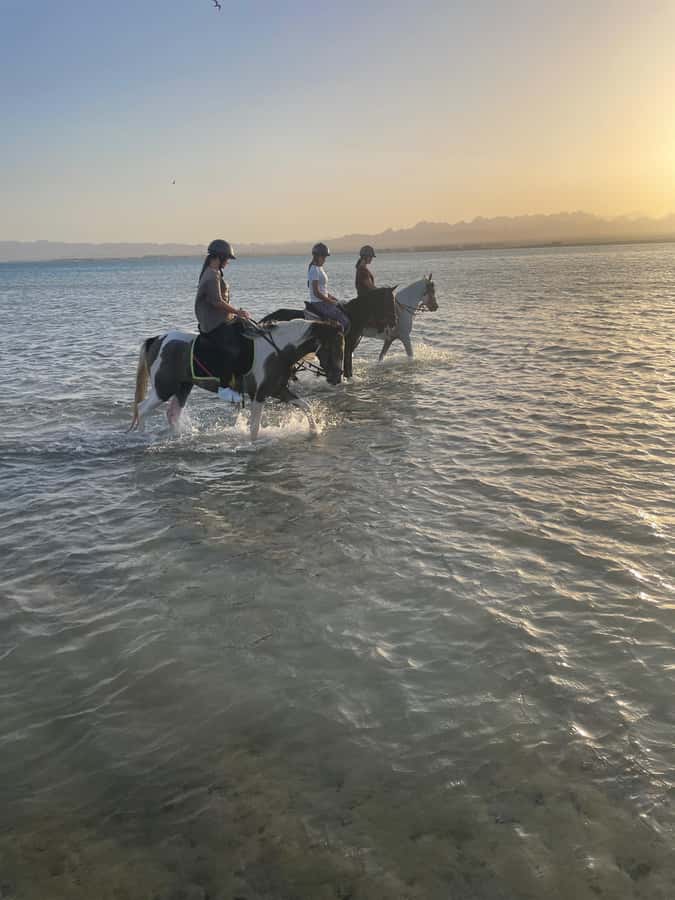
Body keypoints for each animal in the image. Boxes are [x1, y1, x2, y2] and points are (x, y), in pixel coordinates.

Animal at [128, 319, 344, 441]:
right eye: (334, 346)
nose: (337, 377)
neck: (277, 350)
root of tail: (157, 339)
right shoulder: (260, 394)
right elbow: (255, 425)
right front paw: (253, 443)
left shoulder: (278, 390)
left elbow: (306, 406)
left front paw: (314, 432)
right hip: (163, 388)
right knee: (142, 409)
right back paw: (142, 437)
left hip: (183, 387)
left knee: (172, 413)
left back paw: (177, 436)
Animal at [260, 286, 397, 379]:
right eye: (389, 302)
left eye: (394, 301)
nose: (394, 322)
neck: (354, 315)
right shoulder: (348, 347)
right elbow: (347, 368)